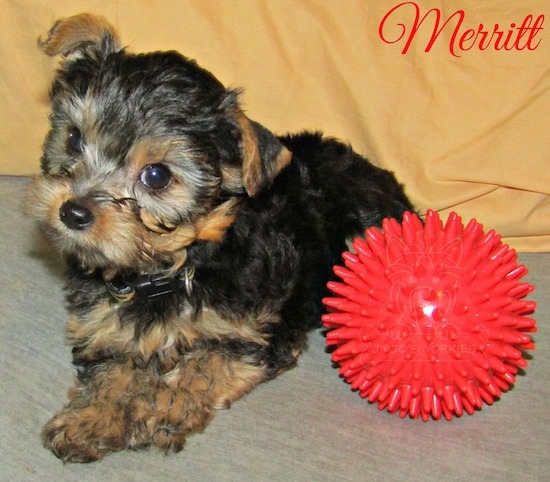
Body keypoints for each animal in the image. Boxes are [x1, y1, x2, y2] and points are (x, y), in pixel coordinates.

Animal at [27, 13, 414, 462]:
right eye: (73, 138)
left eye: (156, 176)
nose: (73, 212)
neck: (169, 269)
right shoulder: (105, 322)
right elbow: (112, 364)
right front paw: (93, 416)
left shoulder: (258, 331)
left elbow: (207, 362)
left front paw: (160, 406)